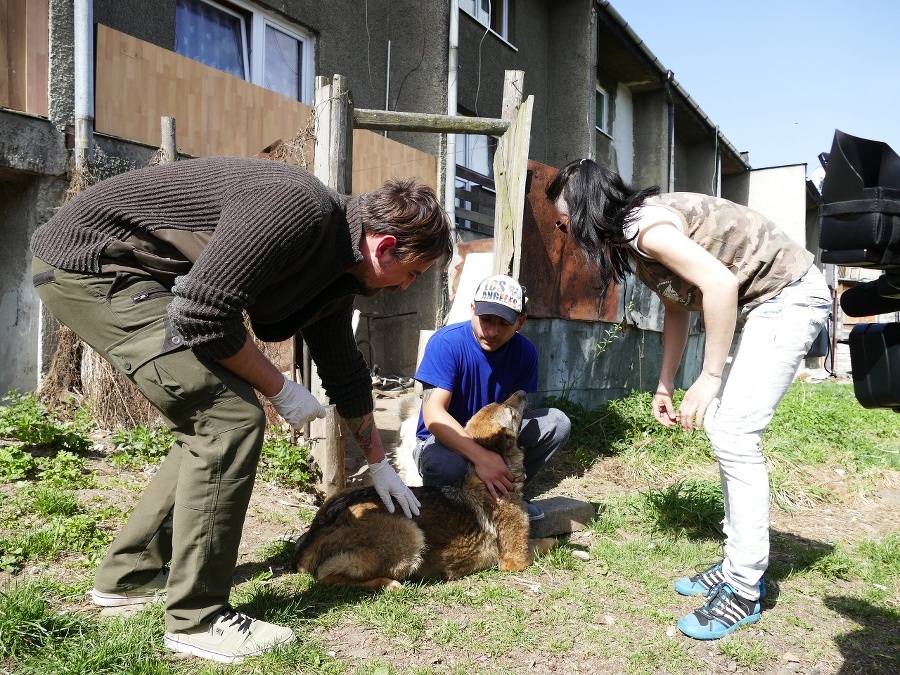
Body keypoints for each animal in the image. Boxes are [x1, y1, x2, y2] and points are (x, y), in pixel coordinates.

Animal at [290, 394, 556, 588]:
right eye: (510, 412)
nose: (522, 392)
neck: (480, 476)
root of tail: (317, 532)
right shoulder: (515, 559)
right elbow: (543, 544)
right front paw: (555, 541)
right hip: (410, 534)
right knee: (328, 578)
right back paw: (387, 583)